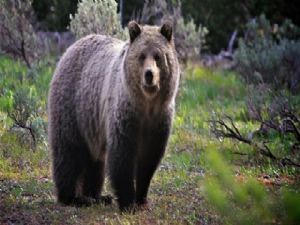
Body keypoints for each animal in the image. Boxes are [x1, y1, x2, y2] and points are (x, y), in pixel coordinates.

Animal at [48, 20, 180, 211]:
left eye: (158, 56)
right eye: (141, 56)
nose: (149, 75)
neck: (146, 104)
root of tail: (70, 48)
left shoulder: (159, 120)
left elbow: (149, 160)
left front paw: (142, 199)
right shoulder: (125, 113)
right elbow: (122, 156)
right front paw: (128, 202)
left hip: (91, 123)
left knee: (95, 161)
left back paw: (97, 196)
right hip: (72, 107)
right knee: (68, 151)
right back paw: (73, 197)